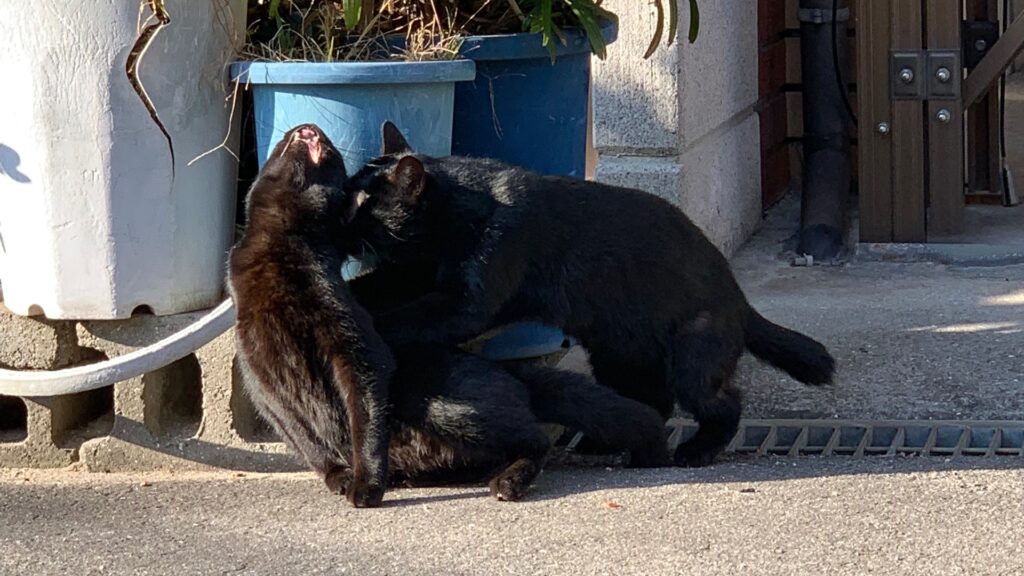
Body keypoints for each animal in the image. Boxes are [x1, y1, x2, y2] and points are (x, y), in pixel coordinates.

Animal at [228, 123, 667, 504]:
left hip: (445, 406)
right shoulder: (262, 383)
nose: (310, 126)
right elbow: (305, 442)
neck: (277, 255)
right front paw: (339, 477)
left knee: (536, 440)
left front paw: (367, 484)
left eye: (333, 156)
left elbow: (366, 421)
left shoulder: (358, 354)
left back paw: (508, 482)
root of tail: (511, 373)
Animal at [346, 121, 839, 467]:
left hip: (692, 356)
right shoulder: (416, 275)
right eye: (349, 190)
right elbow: (378, 288)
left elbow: (411, 317)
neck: (460, 210)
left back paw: (695, 451)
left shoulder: (466, 299)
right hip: (616, 353)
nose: (338, 212)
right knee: (654, 402)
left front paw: (369, 325)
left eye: (364, 202)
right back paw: (603, 444)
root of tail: (740, 300)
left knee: (723, 404)